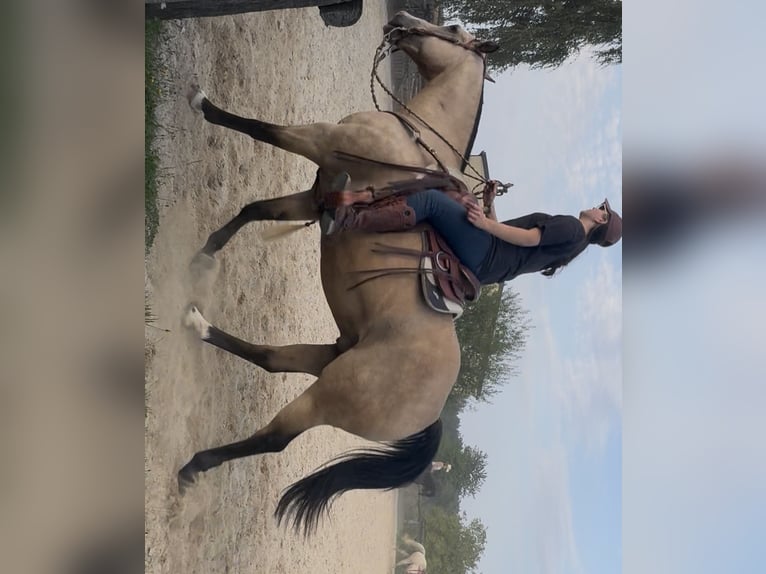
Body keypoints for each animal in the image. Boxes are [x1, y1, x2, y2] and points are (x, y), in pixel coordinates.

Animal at [179, 10, 497, 535]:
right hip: (330, 358)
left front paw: (202, 103)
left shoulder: (321, 141)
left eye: (451, 30)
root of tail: (433, 411)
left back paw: (194, 466)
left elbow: (262, 130)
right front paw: (205, 253)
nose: (401, 19)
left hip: (329, 396)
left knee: (275, 438)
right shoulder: (316, 197)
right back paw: (197, 324)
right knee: (273, 359)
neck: (409, 142)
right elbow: (256, 209)